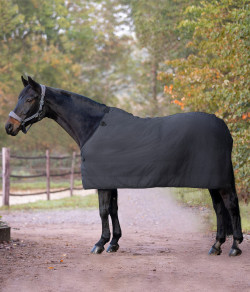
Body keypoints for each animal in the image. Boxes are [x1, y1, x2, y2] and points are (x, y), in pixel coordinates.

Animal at [4, 76, 243, 256]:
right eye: (19, 97)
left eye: (30, 98)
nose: (9, 126)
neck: (93, 127)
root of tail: (224, 128)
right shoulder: (110, 180)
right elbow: (113, 209)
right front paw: (114, 243)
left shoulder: (102, 182)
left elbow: (102, 211)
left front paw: (100, 243)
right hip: (212, 180)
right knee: (219, 208)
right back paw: (216, 245)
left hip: (219, 180)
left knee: (230, 205)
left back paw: (234, 247)